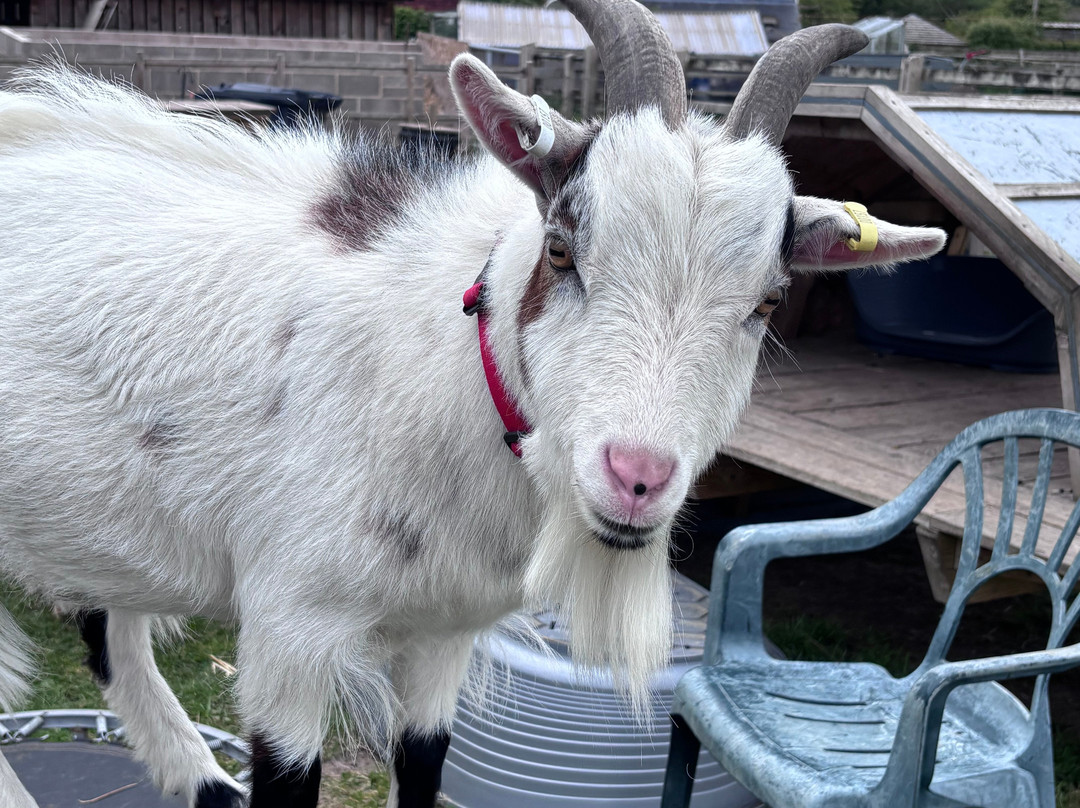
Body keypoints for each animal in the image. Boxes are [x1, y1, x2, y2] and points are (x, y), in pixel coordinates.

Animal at [0, 4, 946, 807]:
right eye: (562, 248)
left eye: (770, 300)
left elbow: (422, 766)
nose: (636, 479)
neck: (438, 362)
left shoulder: (445, 637)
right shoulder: (290, 631)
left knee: (109, 631)